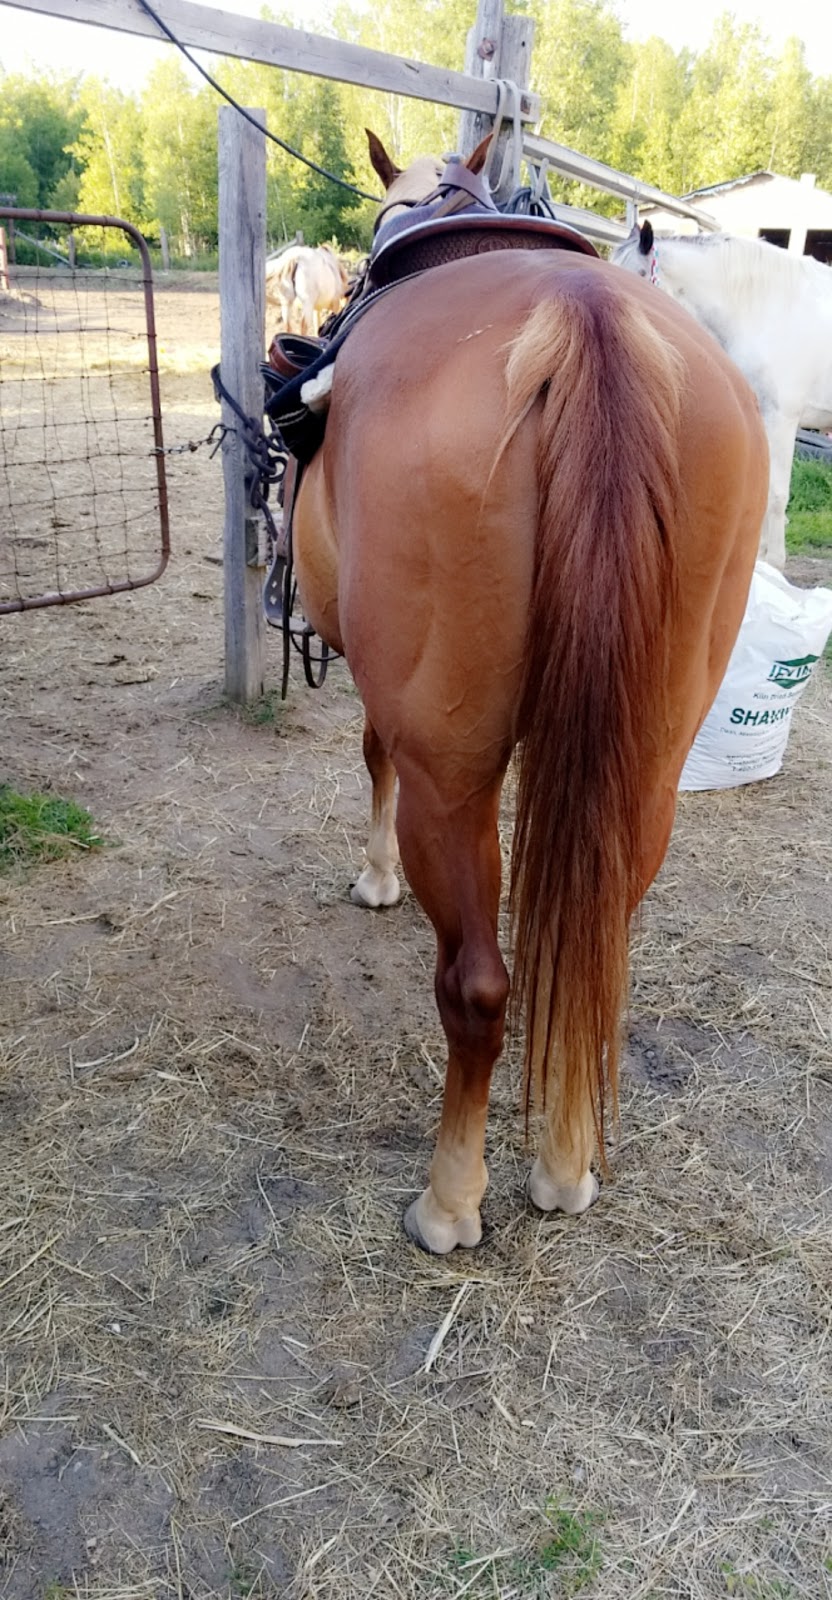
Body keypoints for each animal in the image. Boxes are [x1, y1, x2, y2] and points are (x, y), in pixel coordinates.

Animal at [292, 137, 768, 1254]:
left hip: (453, 774)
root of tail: (587, 323)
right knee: (596, 946)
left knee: (476, 985)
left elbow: (372, 756)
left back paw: (449, 1199)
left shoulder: (392, 704)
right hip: (645, 763)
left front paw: (374, 877)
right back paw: (563, 1164)